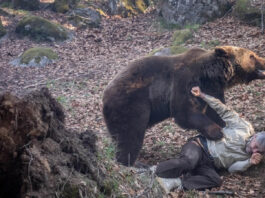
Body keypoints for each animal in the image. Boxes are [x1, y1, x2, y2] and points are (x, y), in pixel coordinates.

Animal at [102, 46, 264, 166]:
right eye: (252, 55)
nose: (263, 59)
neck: (210, 75)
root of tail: (105, 95)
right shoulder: (184, 81)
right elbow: (185, 112)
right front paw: (217, 132)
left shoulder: (213, 89)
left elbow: (216, 109)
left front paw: (223, 125)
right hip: (131, 103)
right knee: (130, 135)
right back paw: (129, 162)